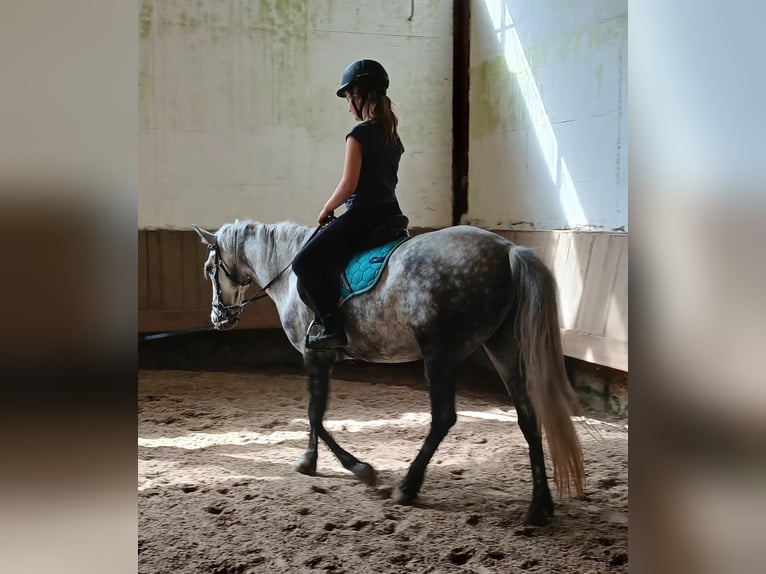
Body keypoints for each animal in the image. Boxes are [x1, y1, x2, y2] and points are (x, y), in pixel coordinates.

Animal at [195, 220, 584, 528]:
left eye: (210, 268)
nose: (218, 317)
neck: (288, 273)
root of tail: (507, 249)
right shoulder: (322, 357)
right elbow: (314, 412)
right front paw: (310, 461)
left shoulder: (314, 353)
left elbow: (314, 414)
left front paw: (357, 467)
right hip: (502, 348)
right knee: (527, 416)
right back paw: (539, 508)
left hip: (440, 352)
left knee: (444, 417)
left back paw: (407, 487)